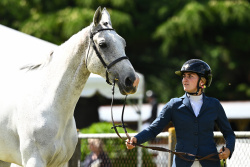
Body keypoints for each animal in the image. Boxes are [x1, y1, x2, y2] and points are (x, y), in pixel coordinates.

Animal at [0, 6, 139, 167]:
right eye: (103, 44)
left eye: (123, 43)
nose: (132, 81)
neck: (48, 104)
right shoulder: (34, 161)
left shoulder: (61, 162)